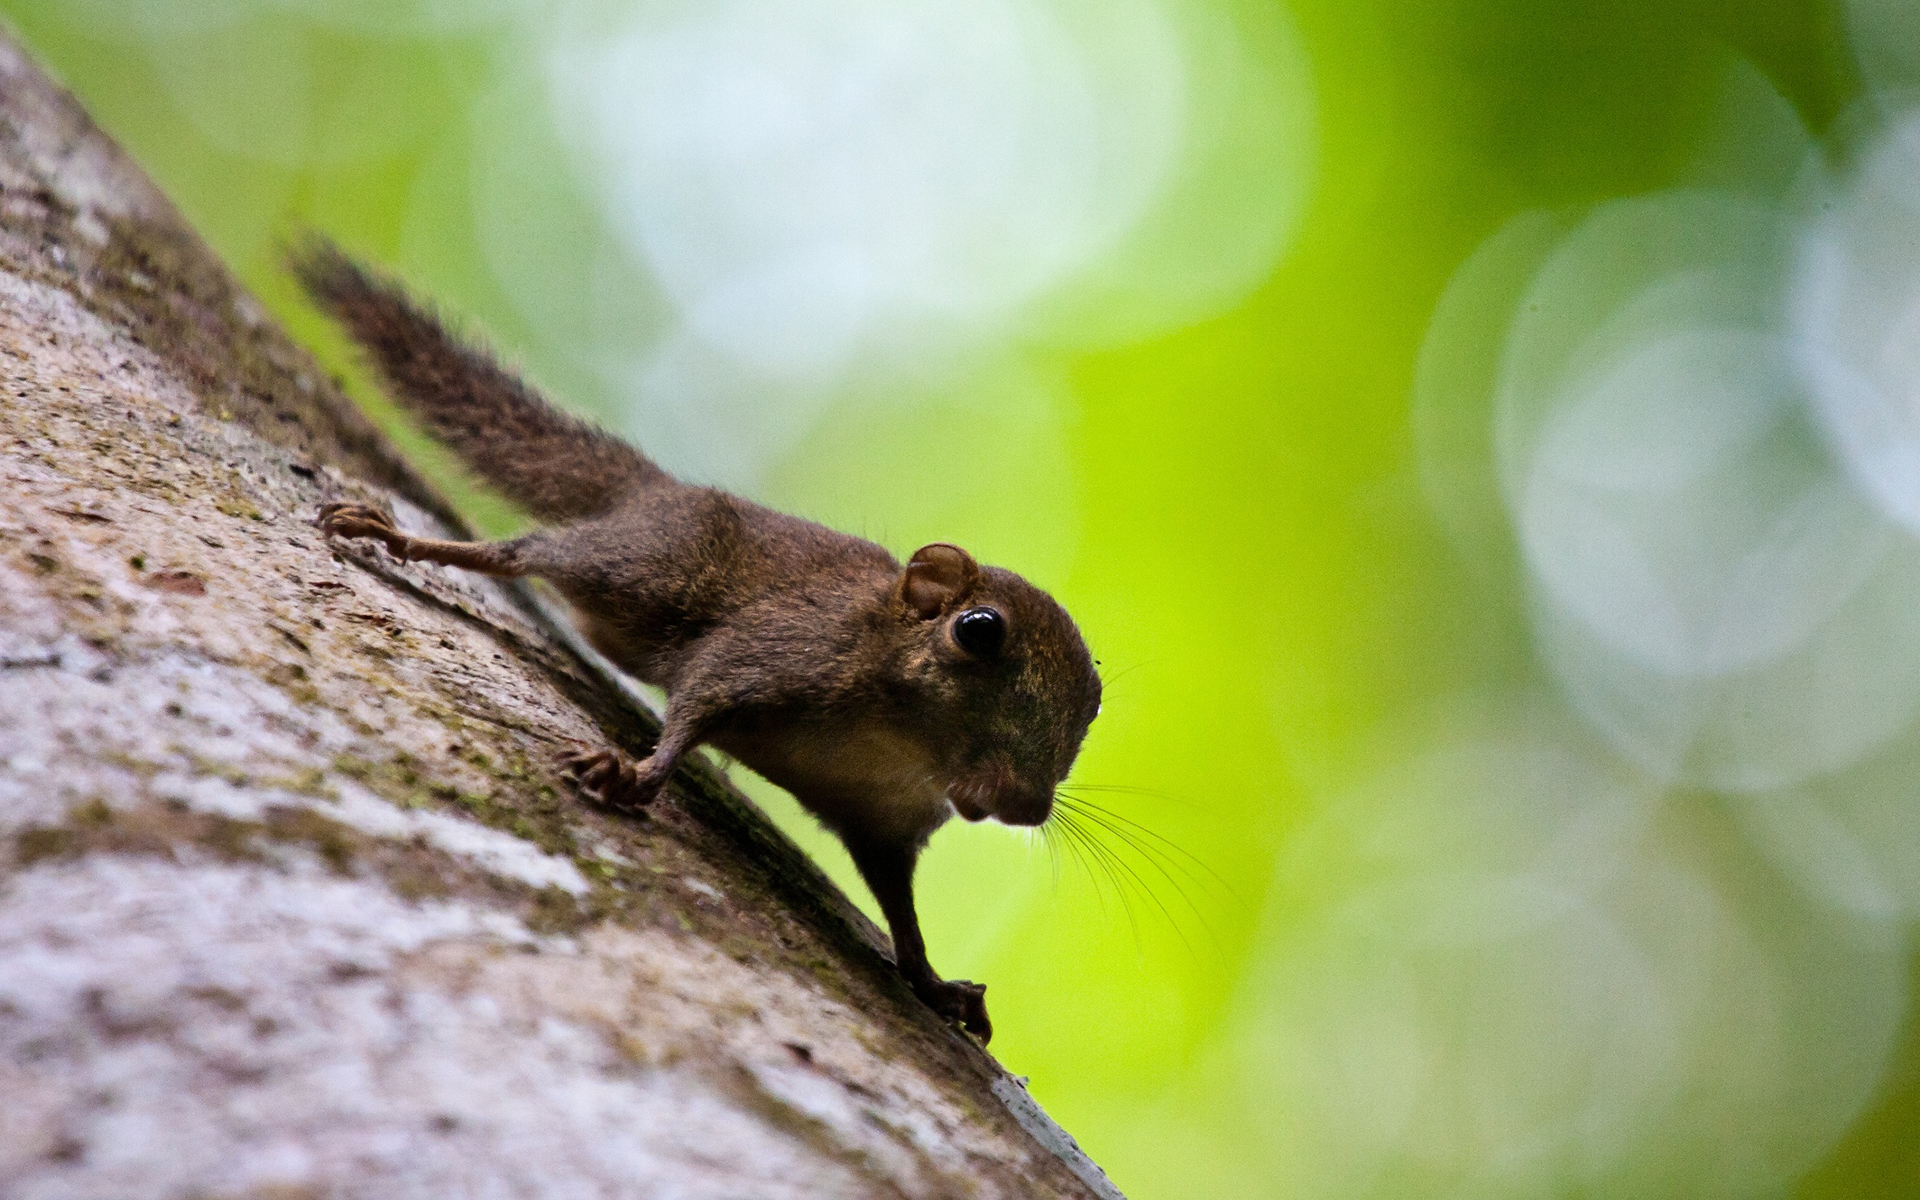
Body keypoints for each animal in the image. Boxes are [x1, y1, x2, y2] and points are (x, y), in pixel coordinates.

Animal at [295, 236, 1113, 1036]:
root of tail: (659, 490)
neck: (905, 745)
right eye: (978, 630)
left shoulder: (886, 824)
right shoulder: (769, 653)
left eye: (1096, 705)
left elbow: (900, 911)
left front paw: (934, 984)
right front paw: (635, 775)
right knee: (524, 552)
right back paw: (402, 538)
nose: (1025, 804)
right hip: (644, 566)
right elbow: (691, 713)